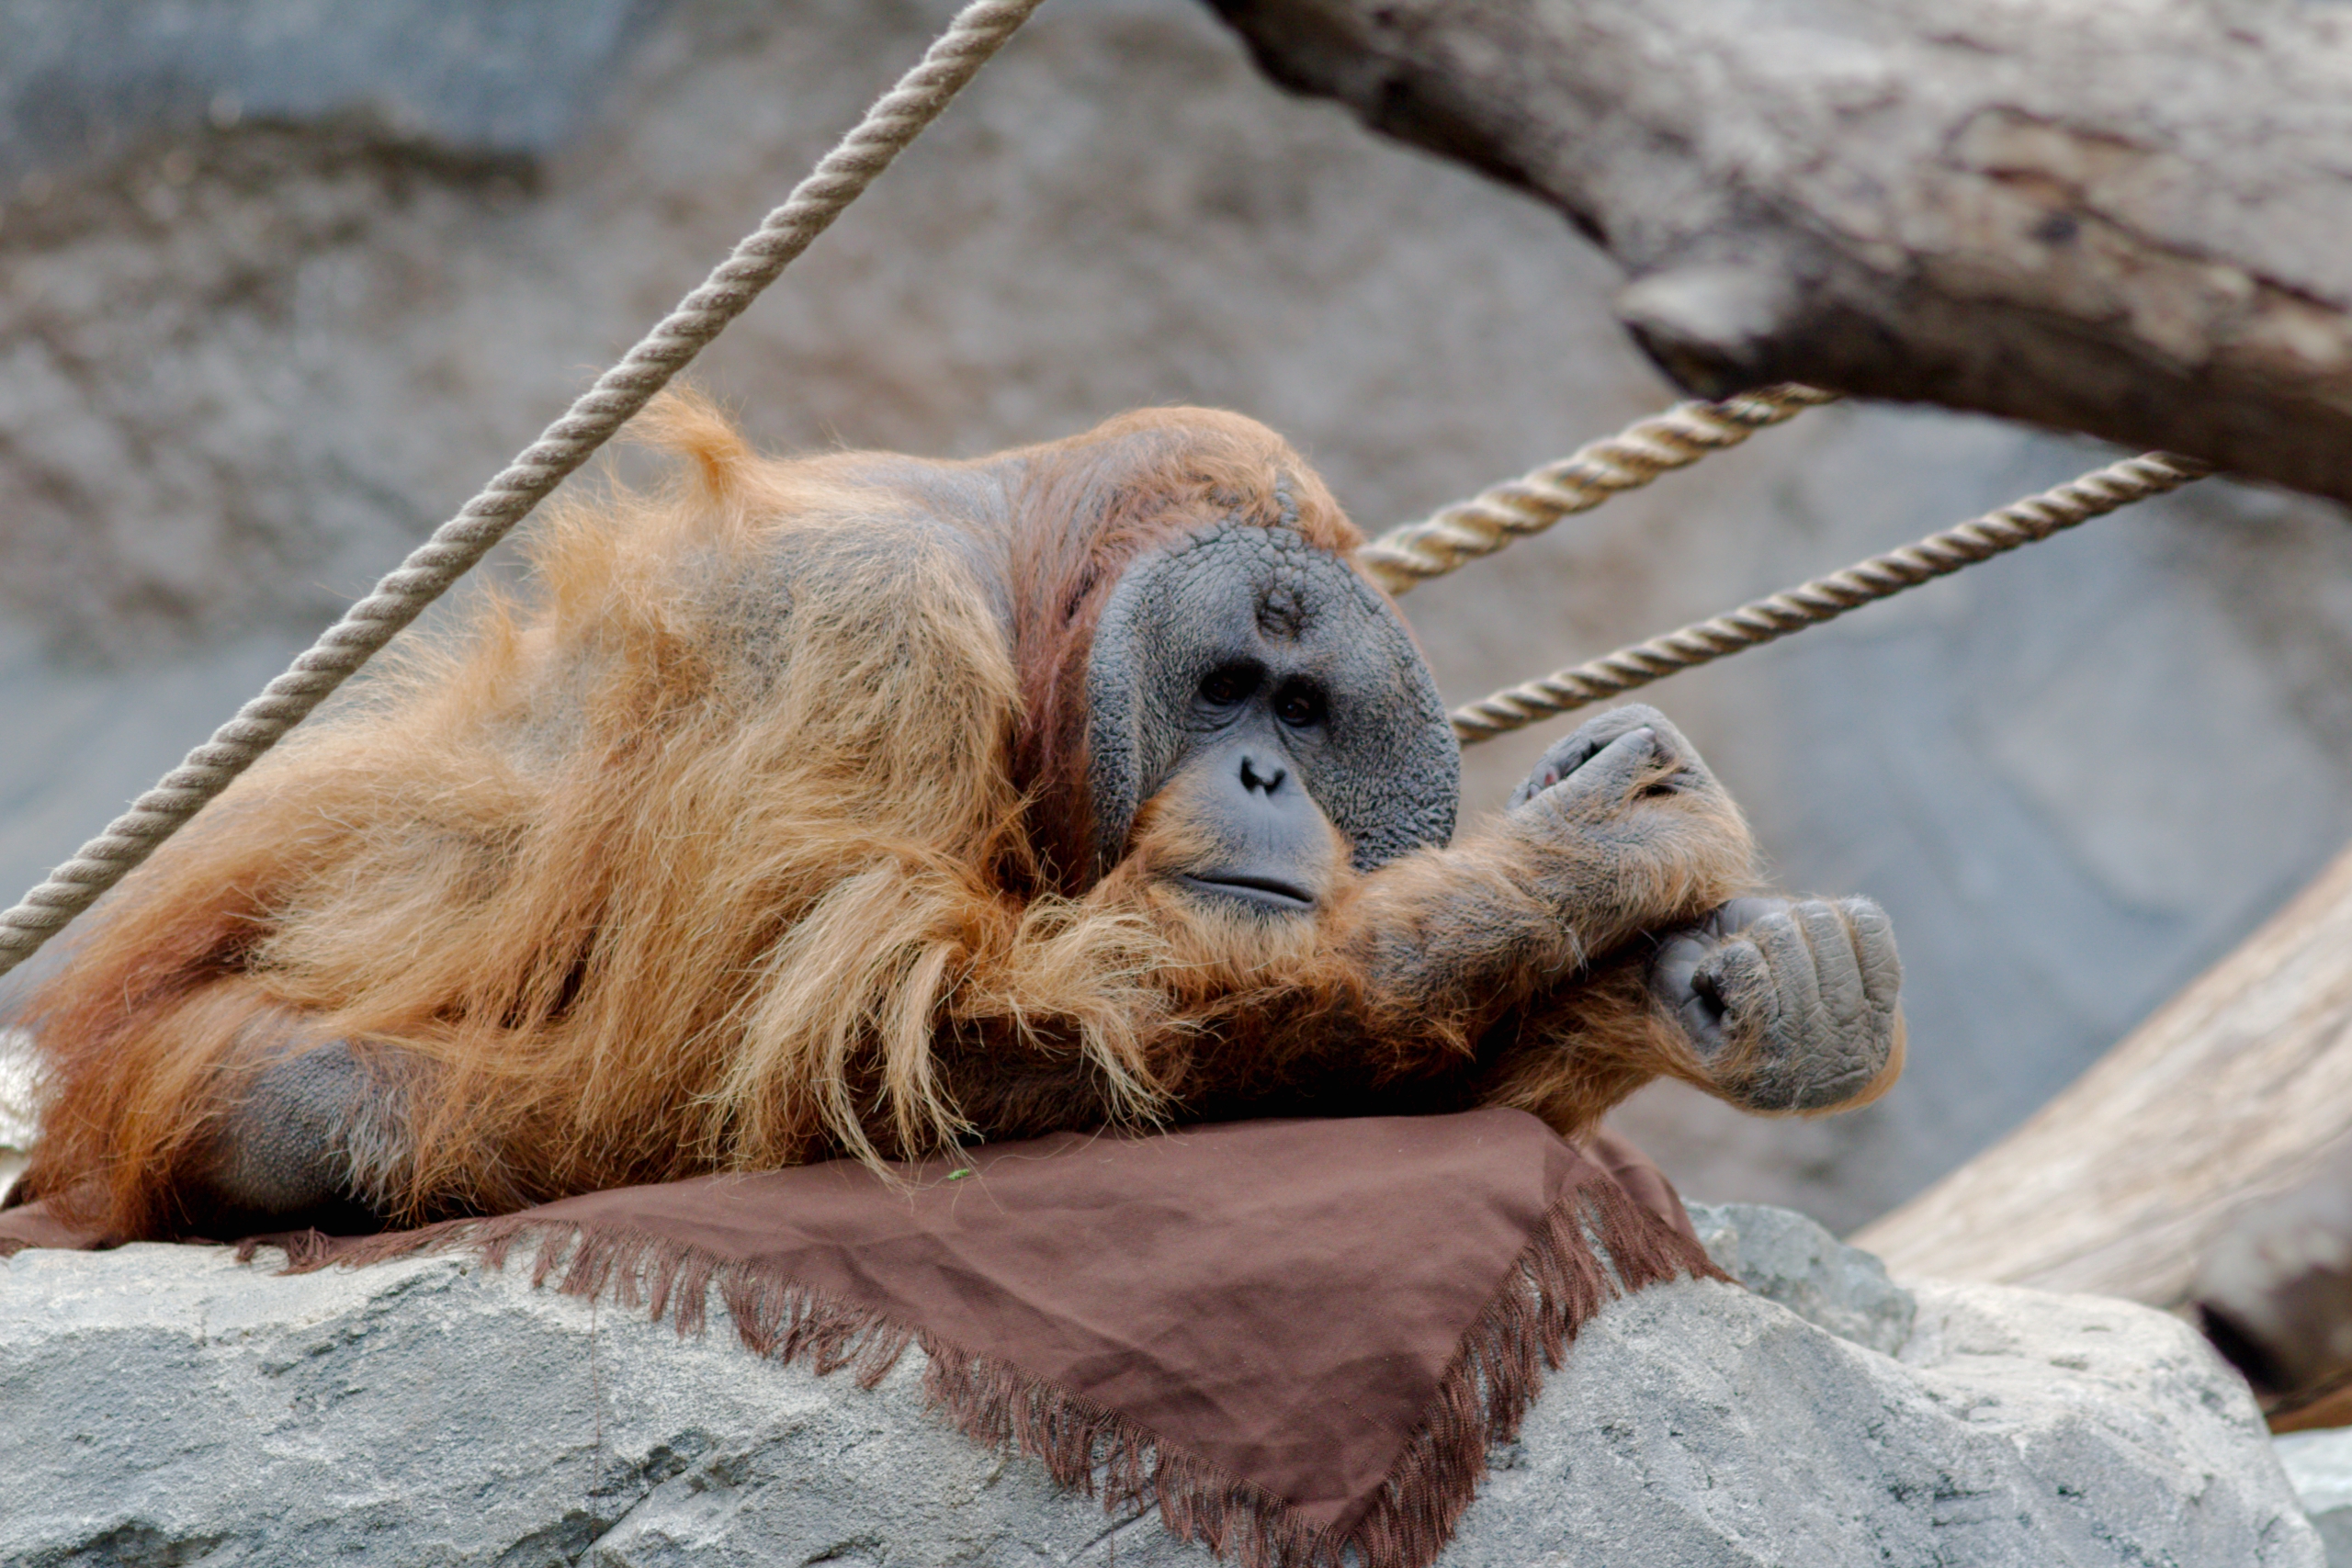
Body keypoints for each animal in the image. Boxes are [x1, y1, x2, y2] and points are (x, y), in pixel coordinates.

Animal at [7, 395, 1903, 1242]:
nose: (1269, 774)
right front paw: (1596, 859)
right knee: (337, 1111)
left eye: (1306, 711)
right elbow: (856, 1041)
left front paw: (1742, 984)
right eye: (1227, 686)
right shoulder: (862, 626)